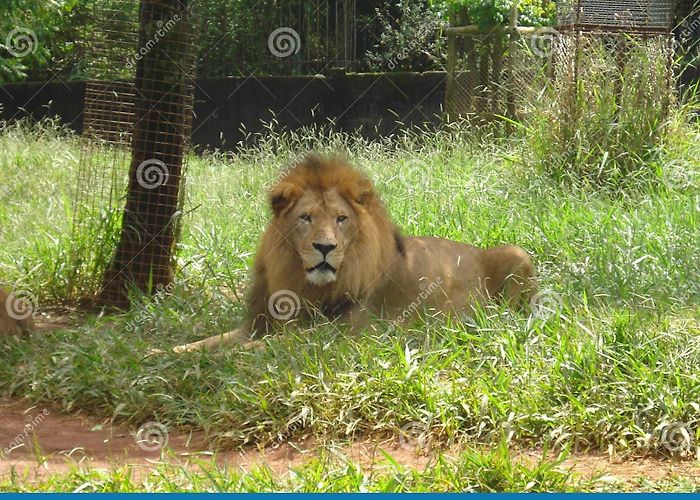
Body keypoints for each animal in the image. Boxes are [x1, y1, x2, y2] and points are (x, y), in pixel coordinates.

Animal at [170, 155, 535, 353]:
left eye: (341, 219)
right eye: (306, 218)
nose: (325, 247)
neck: (300, 281)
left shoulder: (350, 330)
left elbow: (274, 343)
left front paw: (234, 356)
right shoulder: (258, 322)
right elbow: (209, 342)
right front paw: (170, 351)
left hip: (517, 253)